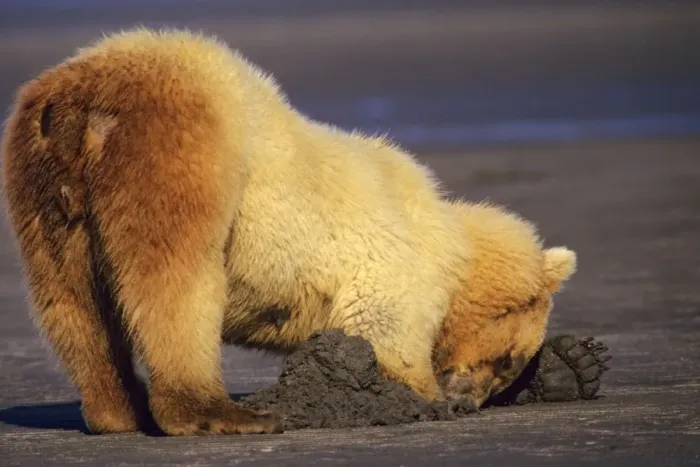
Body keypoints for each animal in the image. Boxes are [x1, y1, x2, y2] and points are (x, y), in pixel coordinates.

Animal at [1, 28, 472, 436]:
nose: (468, 397)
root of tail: (78, 107)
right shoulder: (391, 253)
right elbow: (383, 320)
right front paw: (419, 399)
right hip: (176, 146)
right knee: (176, 285)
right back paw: (222, 412)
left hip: (42, 185)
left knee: (70, 299)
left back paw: (116, 410)